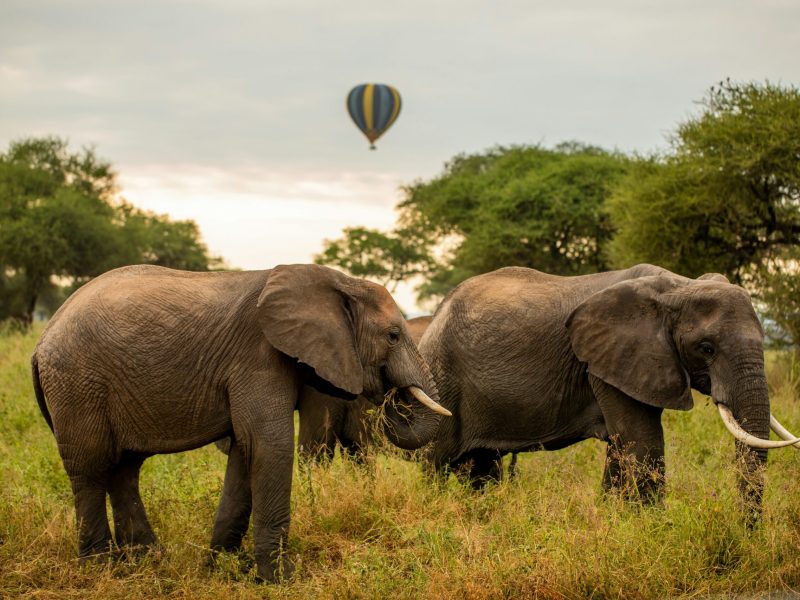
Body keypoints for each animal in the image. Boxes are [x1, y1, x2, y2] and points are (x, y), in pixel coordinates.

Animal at [418, 263, 800, 509]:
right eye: (707, 348)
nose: (747, 530)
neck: (678, 286)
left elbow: (622, 446)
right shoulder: (607, 359)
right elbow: (643, 442)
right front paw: (652, 529)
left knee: (482, 466)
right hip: (440, 379)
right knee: (435, 464)